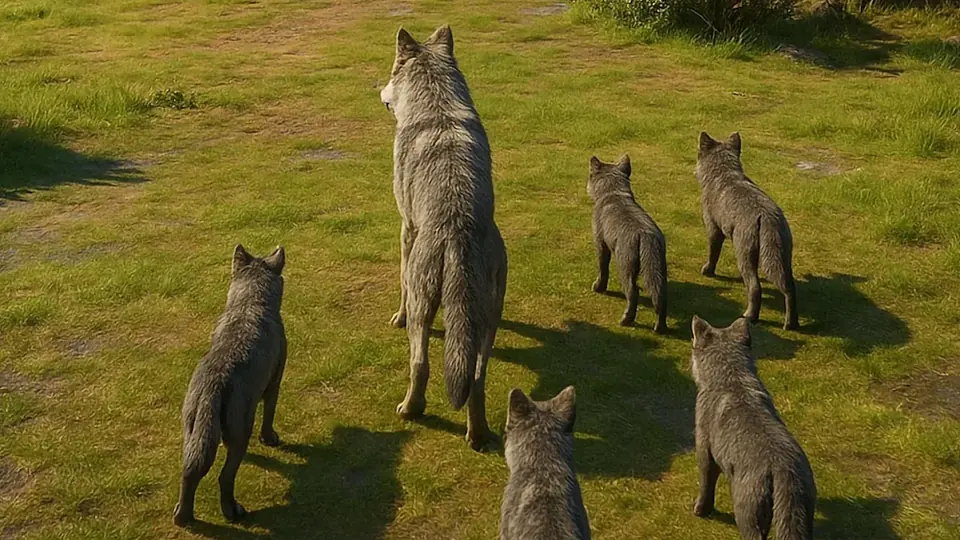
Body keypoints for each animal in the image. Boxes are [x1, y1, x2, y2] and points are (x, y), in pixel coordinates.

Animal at [173, 245, 287, 526]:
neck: (248, 304)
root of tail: (212, 386)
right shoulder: (274, 382)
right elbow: (270, 414)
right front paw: (271, 439)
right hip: (240, 429)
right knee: (225, 477)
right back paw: (233, 511)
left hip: (192, 429)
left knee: (189, 470)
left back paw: (183, 516)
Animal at [379, 25, 507, 451]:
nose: (379, 92)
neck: (435, 102)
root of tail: (457, 231)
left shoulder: (406, 227)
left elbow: (400, 287)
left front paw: (396, 316)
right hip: (489, 316)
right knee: (477, 380)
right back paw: (478, 434)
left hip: (424, 305)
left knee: (420, 363)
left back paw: (410, 409)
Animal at [587, 155, 668, 333]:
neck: (613, 193)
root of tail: (645, 235)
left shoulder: (601, 243)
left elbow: (603, 268)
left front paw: (598, 287)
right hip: (659, 267)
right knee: (660, 295)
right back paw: (660, 327)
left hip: (625, 265)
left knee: (633, 292)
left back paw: (626, 319)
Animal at [691, 315, 816, 540]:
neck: (731, 380)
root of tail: (784, 470)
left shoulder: (704, 451)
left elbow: (706, 486)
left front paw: (700, 510)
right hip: (802, 516)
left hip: (748, 514)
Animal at [696, 132, 799, 330]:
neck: (723, 172)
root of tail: (767, 218)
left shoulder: (713, 228)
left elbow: (713, 252)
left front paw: (708, 270)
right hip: (783, 256)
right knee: (790, 288)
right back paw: (791, 323)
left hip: (744, 253)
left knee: (754, 287)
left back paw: (750, 316)